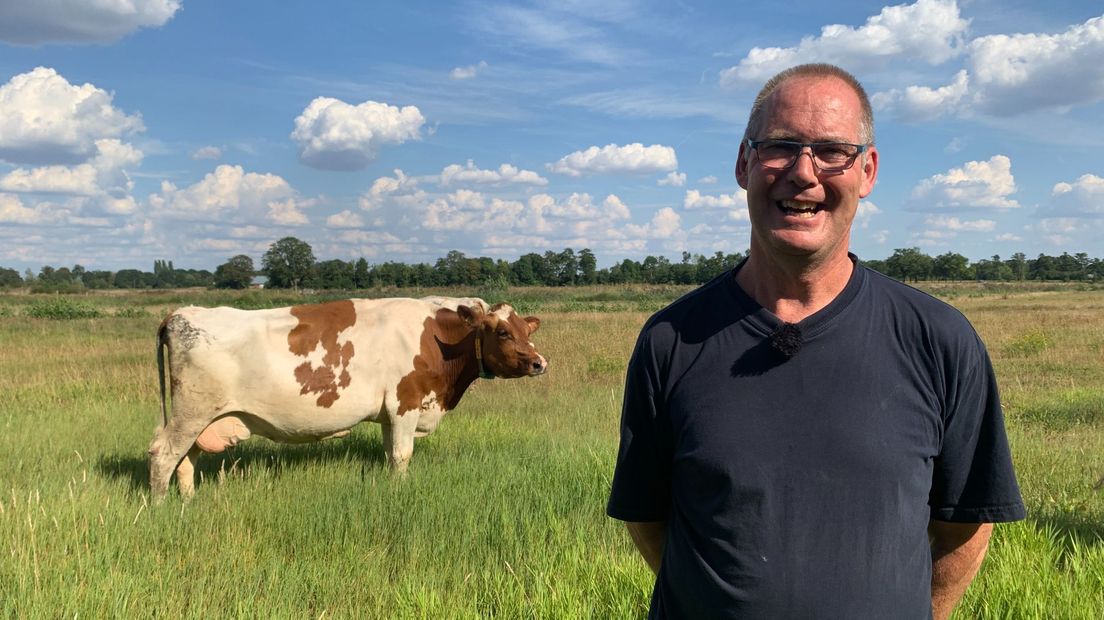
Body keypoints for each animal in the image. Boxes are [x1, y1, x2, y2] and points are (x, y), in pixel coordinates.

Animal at [151, 293, 547, 496]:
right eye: (502, 332)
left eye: (525, 330)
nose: (539, 362)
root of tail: (182, 312)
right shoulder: (405, 403)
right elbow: (402, 455)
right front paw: (400, 490)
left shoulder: (389, 413)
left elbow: (390, 453)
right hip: (191, 412)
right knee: (163, 454)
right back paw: (160, 506)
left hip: (201, 419)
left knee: (186, 458)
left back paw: (188, 500)